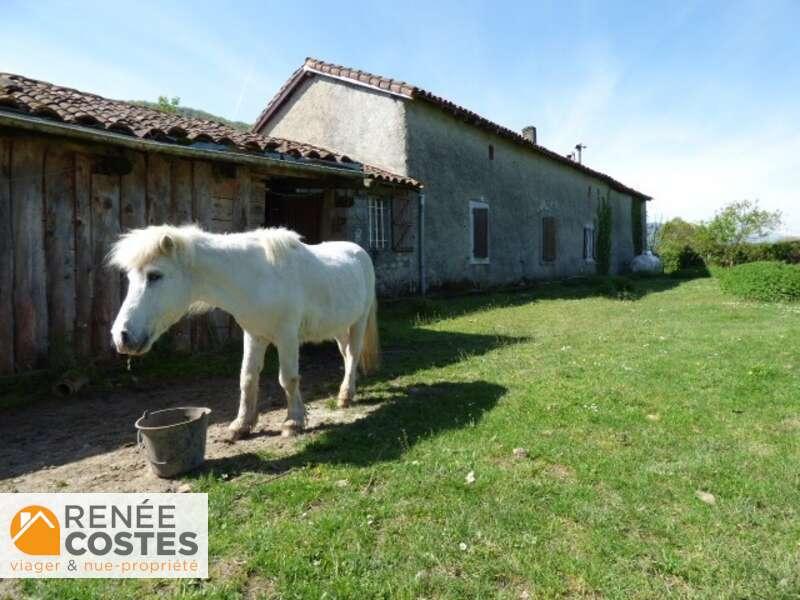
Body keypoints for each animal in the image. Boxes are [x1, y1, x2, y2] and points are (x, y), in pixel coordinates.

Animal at [108, 223, 380, 438]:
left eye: (155, 276)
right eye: (131, 278)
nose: (122, 336)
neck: (256, 278)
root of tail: (359, 252)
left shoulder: (287, 337)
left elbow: (288, 378)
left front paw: (293, 422)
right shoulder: (254, 336)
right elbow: (247, 378)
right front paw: (242, 425)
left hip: (359, 321)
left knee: (353, 355)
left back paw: (345, 396)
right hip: (339, 327)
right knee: (346, 355)